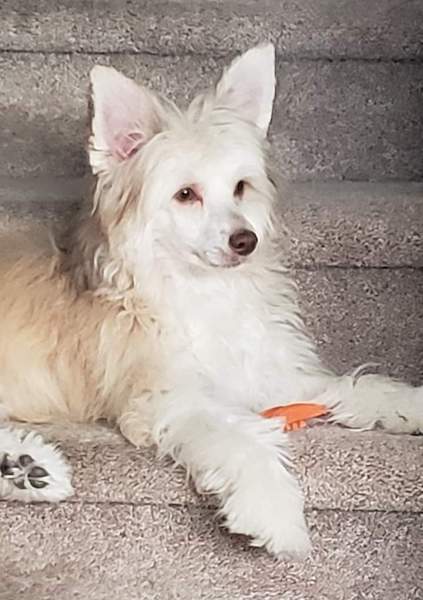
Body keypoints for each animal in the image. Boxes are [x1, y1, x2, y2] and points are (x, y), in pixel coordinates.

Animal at [0, 45, 422, 556]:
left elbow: (344, 387)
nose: (246, 241)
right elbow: (241, 435)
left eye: (241, 186)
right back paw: (25, 464)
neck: (201, 289)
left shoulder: (261, 370)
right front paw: (273, 509)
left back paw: (24, 469)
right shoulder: (166, 398)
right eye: (186, 194)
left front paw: (409, 403)